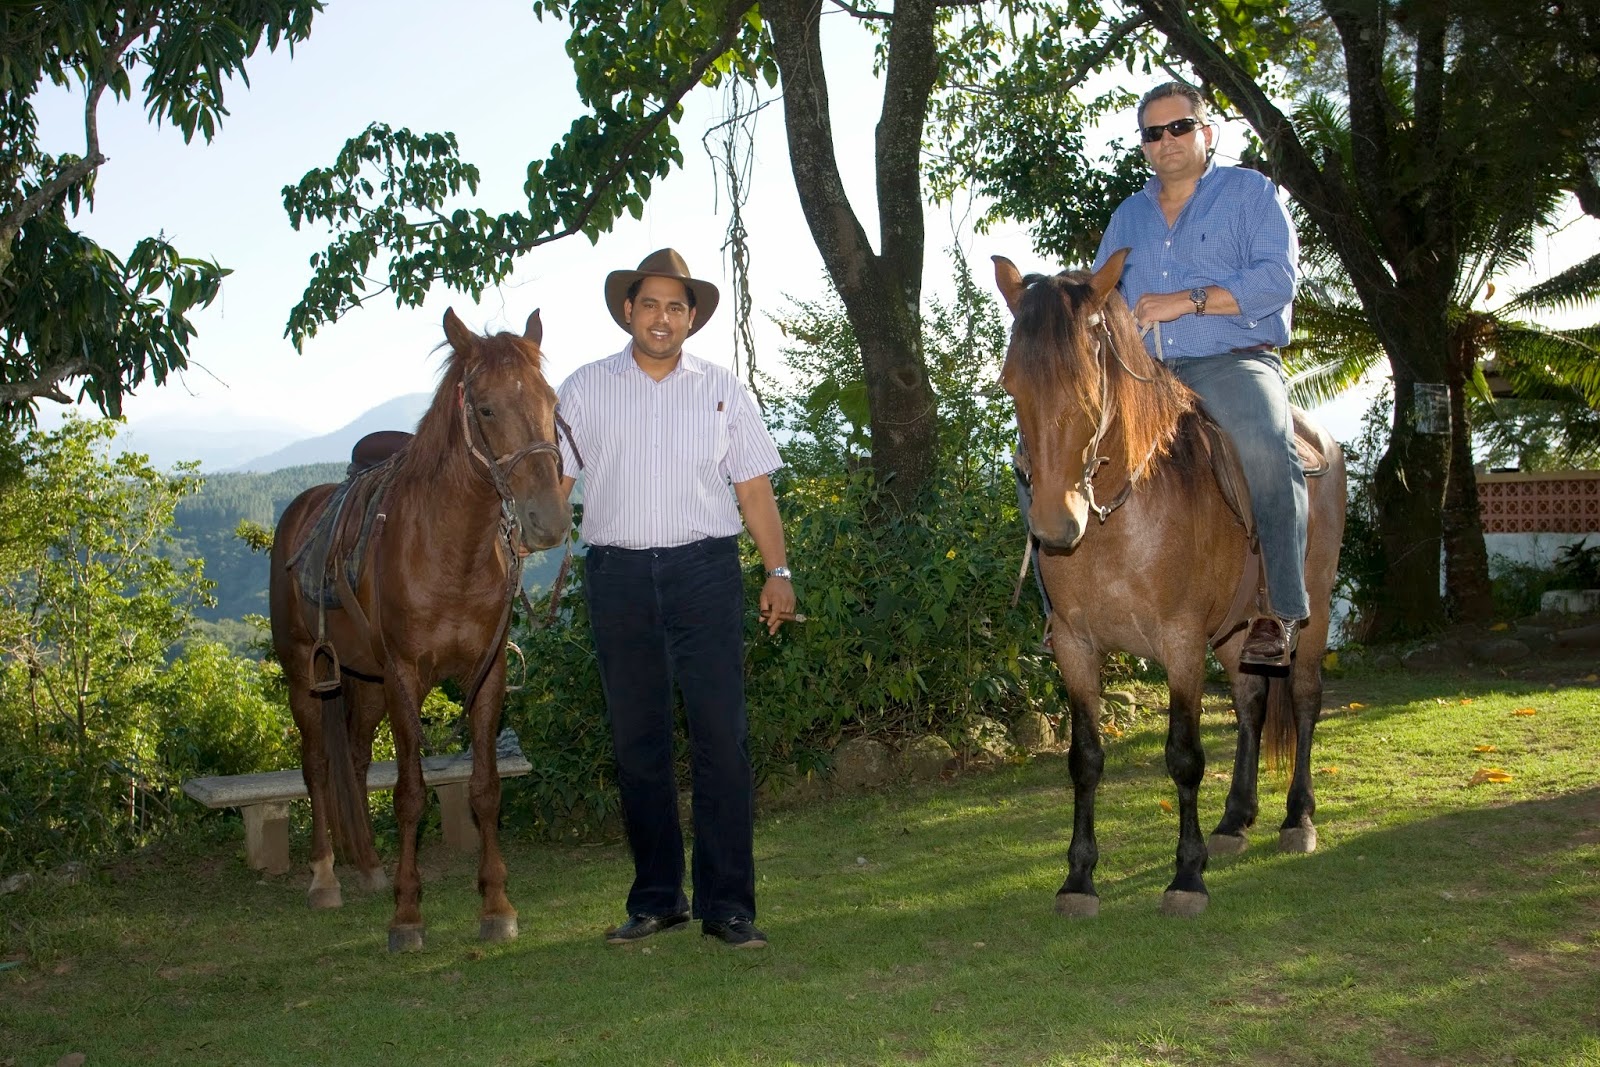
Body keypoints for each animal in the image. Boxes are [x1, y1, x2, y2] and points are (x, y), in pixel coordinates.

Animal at [272, 307, 572, 953]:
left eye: (551, 401)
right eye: (485, 408)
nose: (548, 520)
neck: (450, 550)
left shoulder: (486, 675)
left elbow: (485, 788)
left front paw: (496, 905)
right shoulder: (405, 677)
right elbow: (409, 794)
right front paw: (407, 914)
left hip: (364, 683)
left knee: (356, 759)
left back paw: (368, 867)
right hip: (307, 677)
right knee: (318, 764)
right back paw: (325, 877)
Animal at [992, 252, 1344, 921]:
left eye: (1088, 386)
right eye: (1011, 385)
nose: (1055, 526)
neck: (1121, 519)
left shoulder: (1180, 644)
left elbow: (1184, 756)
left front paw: (1187, 875)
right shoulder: (1075, 648)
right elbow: (1085, 759)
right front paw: (1079, 878)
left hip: (1311, 613)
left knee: (1305, 700)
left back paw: (1297, 819)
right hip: (1235, 632)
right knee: (1250, 702)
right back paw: (1235, 820)